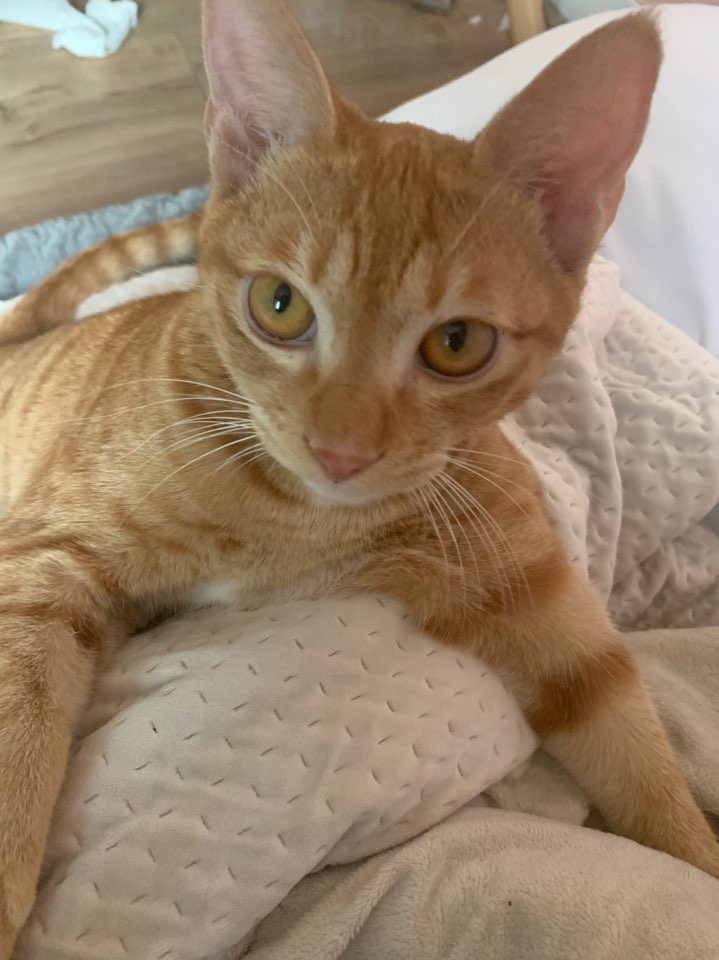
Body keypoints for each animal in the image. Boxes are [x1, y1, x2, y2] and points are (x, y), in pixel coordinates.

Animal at [0, 0, 717, 951]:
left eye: (457, 344)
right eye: (279, 306)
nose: (339, 451)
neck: (298, 519)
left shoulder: (528, 585)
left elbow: (625, 737)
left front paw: (695, 858)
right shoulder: (40, 560)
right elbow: (18, 721)